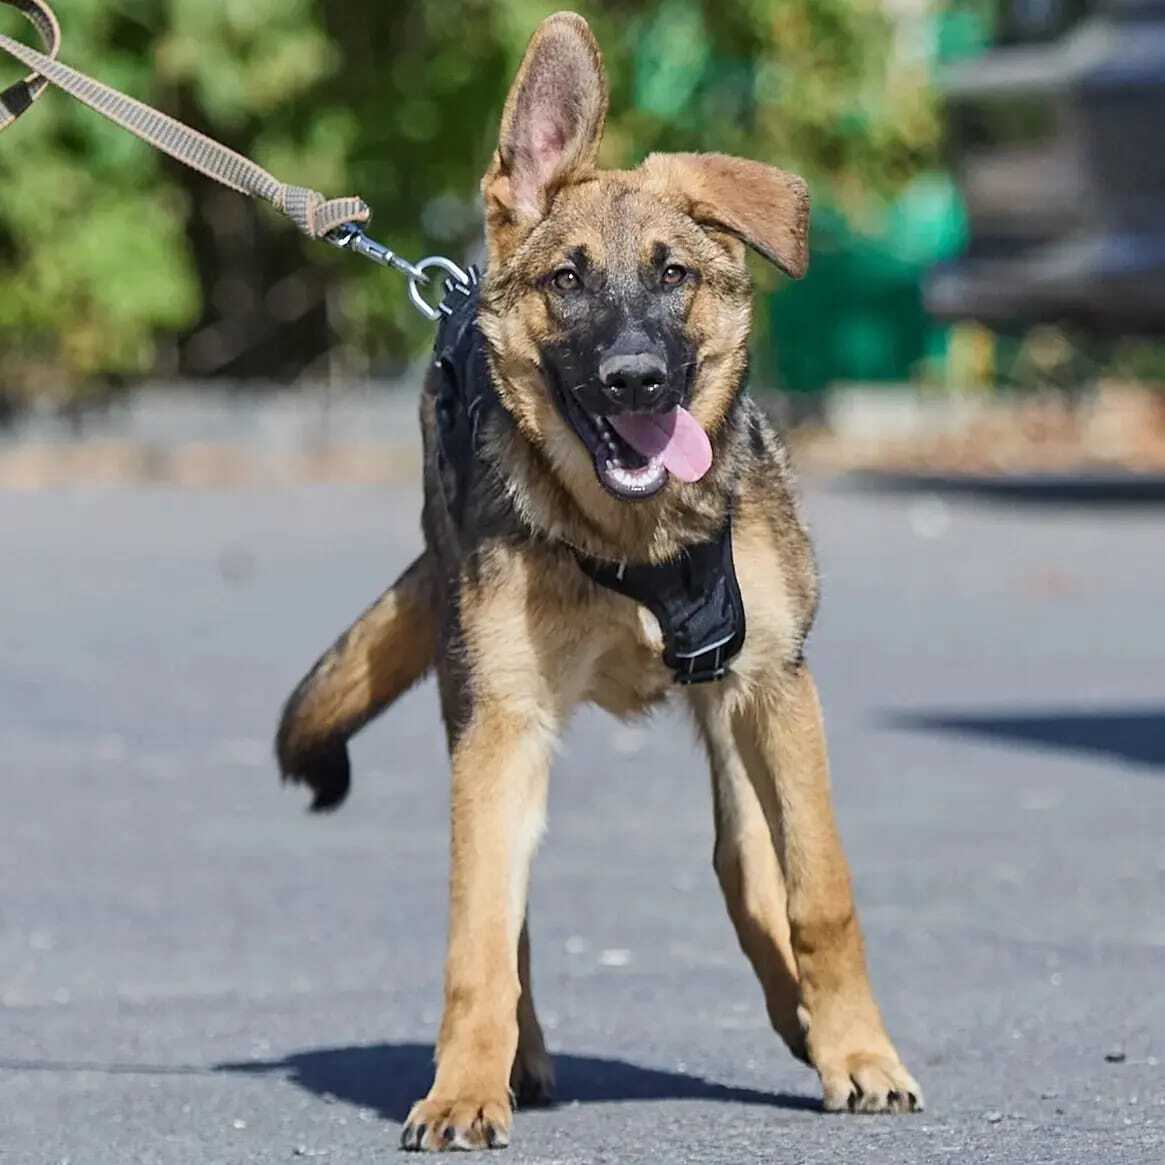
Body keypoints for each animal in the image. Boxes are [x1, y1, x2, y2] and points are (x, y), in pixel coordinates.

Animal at [272, 11, 918, 1155]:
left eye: (674, 277)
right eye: (567, 281)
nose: (636, 380)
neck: (634, 540)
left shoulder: (775, 688)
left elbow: (819, 892)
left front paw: (857, 1052)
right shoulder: (504, 724)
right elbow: (480, 932)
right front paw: (461, 1087)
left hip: (738, 715)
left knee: (743, 860)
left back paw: (800, 1018)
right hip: (475, 709)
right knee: (517, 909)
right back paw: (513, 1060)